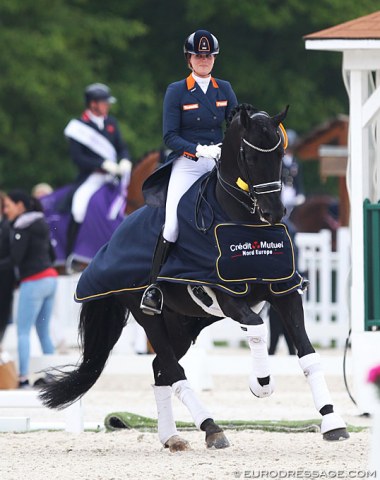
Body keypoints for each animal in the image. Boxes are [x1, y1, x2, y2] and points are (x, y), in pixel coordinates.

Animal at [40, 105, 348, 450]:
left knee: (161, 369)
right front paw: (260, 383)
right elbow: (257, 327)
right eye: (250, 156)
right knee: (173, 370)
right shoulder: (227, 298)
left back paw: (172, 436)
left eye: (281, 155)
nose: (275, 212)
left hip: (183, 323)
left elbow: (308, 354)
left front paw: (332, 421)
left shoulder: (284, 292)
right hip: (150, 317)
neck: (242, 223)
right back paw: (211, 427)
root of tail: (113, 237)